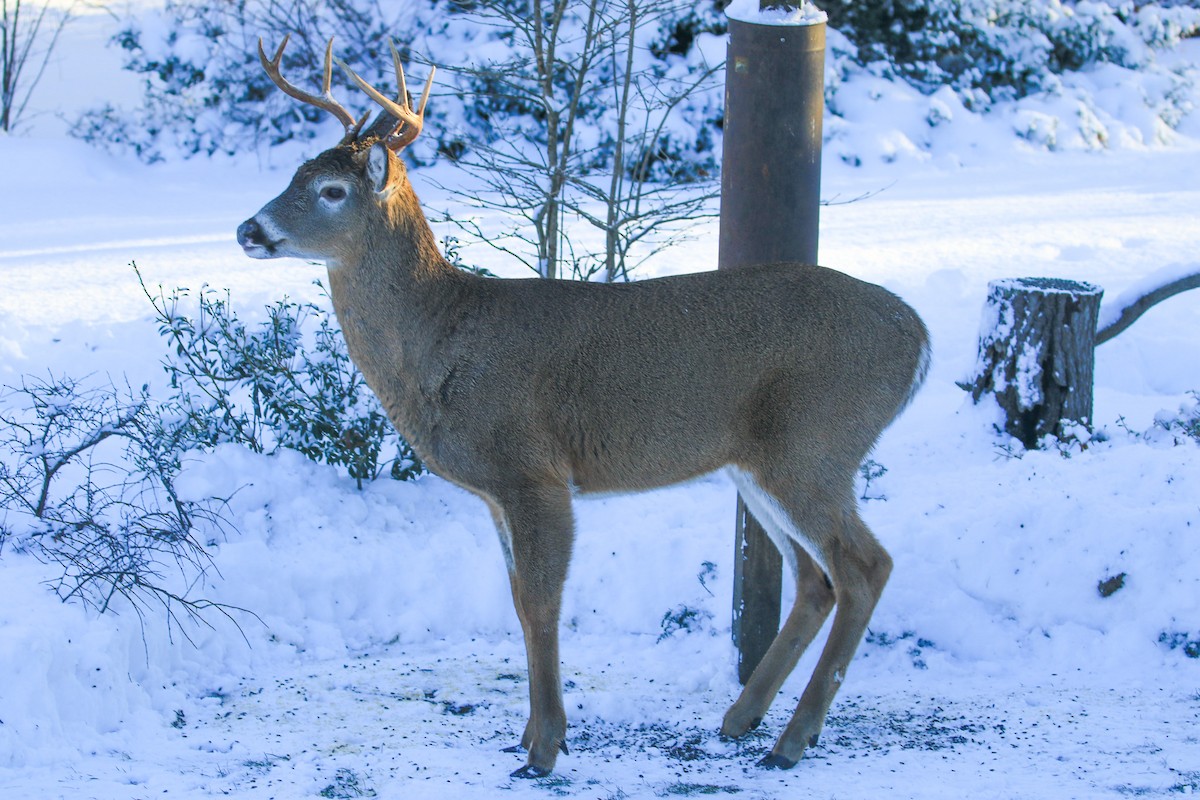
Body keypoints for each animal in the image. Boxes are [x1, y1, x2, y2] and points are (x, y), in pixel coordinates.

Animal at [237, 36, 932, 779]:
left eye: (331, 191)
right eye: (296, 174)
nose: (248, 229)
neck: (442, 338)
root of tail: (919, 338)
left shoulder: (534, 470)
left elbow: (541, 606)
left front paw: (544, 749)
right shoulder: (497, 492)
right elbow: (518, 602)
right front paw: (530, 735)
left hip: (815, 441)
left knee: (865, 568)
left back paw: (791, 739)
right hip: (761, 463)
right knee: (814, 578)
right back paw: (741, 720)